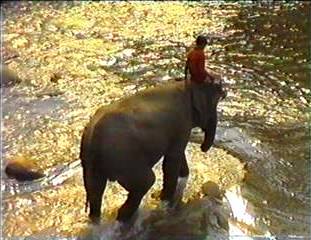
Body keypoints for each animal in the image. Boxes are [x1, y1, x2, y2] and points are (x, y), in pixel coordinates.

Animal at [80, 80, 227, 223]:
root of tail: (93, 138)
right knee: (146, 181)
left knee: (95, 193)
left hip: (92, 164)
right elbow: (173, 158)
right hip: (125, 160)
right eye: (214, 105)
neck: (186, 85)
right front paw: (165, 200)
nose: (203, 148)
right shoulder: (182, 123)